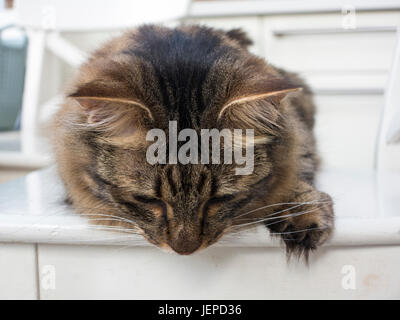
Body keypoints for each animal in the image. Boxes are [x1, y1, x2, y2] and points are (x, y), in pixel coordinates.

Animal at [53, 24, 334, 258]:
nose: (184, 250)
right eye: (147, 200)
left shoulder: (298, 131)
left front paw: (302, 211)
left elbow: (296, 170)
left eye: (220, 199)